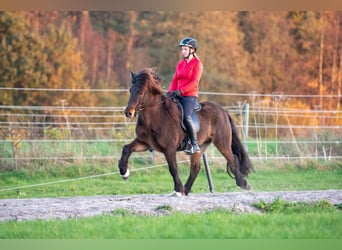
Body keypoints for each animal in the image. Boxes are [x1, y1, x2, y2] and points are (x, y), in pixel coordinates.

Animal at [119, 68, 252, 195]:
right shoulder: (145, 143)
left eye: (140, 92)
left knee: (232, 159)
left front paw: (178, 189)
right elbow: (126, 148)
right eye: (130, 90)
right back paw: (186, 190)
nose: (128, 112)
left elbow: (173, 168)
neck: (155, 117)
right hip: (201, 146)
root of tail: (223, 111)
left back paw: (243, 184)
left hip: (221, 142)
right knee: (195, 168)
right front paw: (124, 172)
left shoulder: (169, 148)